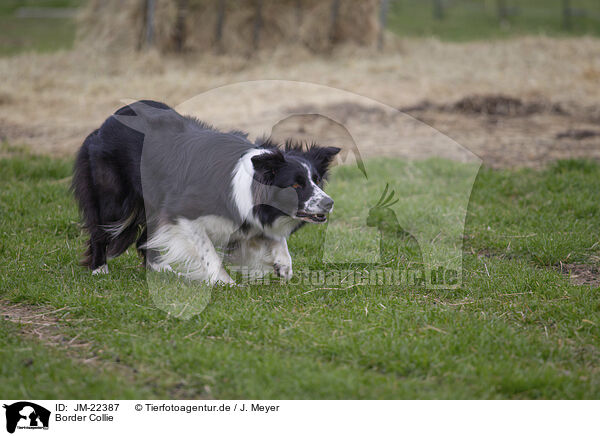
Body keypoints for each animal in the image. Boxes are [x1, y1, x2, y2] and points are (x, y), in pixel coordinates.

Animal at [72, 100, 340, 284]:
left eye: (316, 180)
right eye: (295, 185)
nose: (329, 203)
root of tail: (106, 122)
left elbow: (273, 237)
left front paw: (283, 265)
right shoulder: (181, 211)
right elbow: (207, 249)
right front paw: (224, 282)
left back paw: (160, 268)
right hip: (112, 193)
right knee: (101, 228)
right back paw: (99, 269)